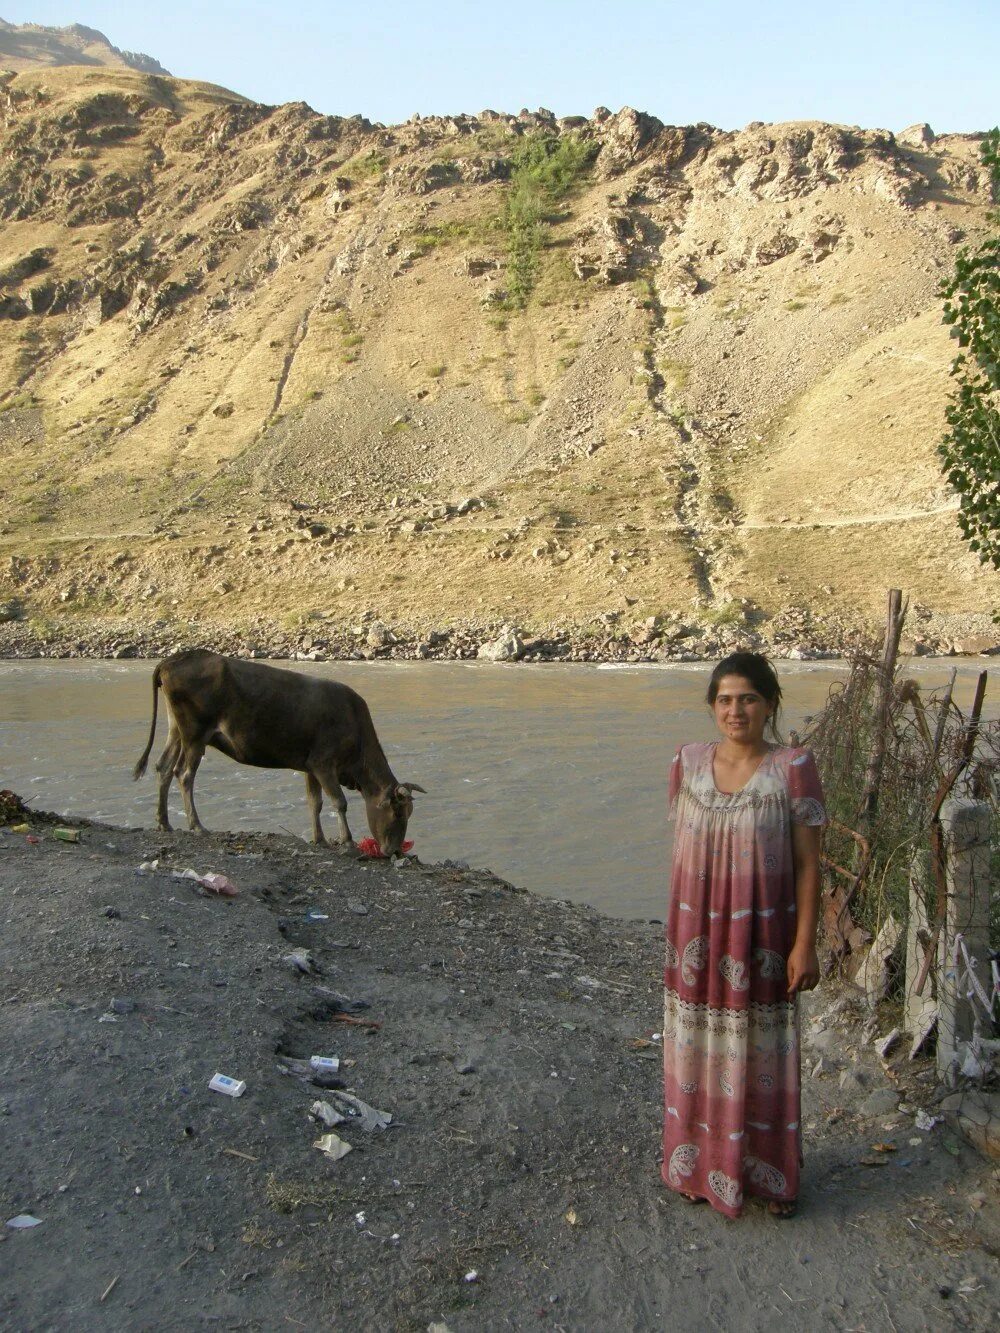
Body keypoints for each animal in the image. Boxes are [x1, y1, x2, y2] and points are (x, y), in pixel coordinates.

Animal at [132, 647, 424, 853]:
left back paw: (164, 822)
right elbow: (338, 802)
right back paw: (196, 826)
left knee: (164, 767)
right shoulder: (324, 763)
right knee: (184, 774)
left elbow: (315, 802)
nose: (395, 851)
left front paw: (320, 839)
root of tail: (172, 661)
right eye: (398, 812)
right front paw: (347, 841)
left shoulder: (310, 766)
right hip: (195, 734)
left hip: (176, 730)